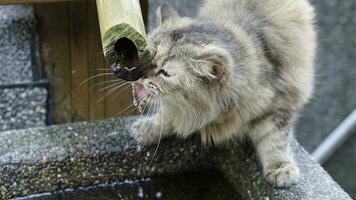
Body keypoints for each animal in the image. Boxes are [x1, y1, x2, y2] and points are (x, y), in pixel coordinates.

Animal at [130, 0, 318, 188]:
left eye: (165, 73)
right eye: (147, 56)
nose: (140, 76)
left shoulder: (278, 104)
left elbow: (275, 141)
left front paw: (281, 169)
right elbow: (166, 117)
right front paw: (147, 129)